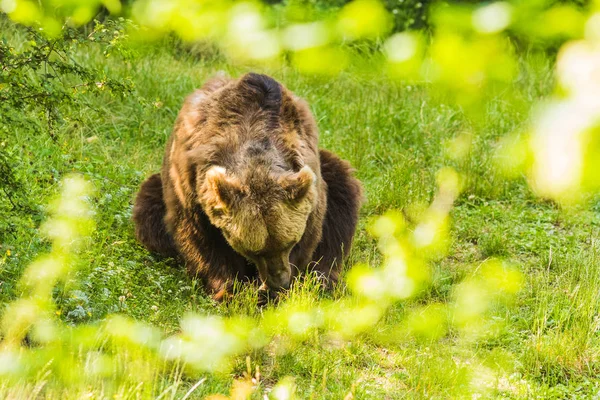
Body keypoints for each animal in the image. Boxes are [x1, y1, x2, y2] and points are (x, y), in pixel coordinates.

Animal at [132, 73, 360, 302]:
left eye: (288, 243)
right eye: (254, 251)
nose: (279, 280)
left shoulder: (310, 177)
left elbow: (312, 233)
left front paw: (273, 292)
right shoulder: (190, 183)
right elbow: (200, 238)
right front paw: (227, 288)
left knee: (341, 196)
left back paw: (323, 279)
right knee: (149, 210)